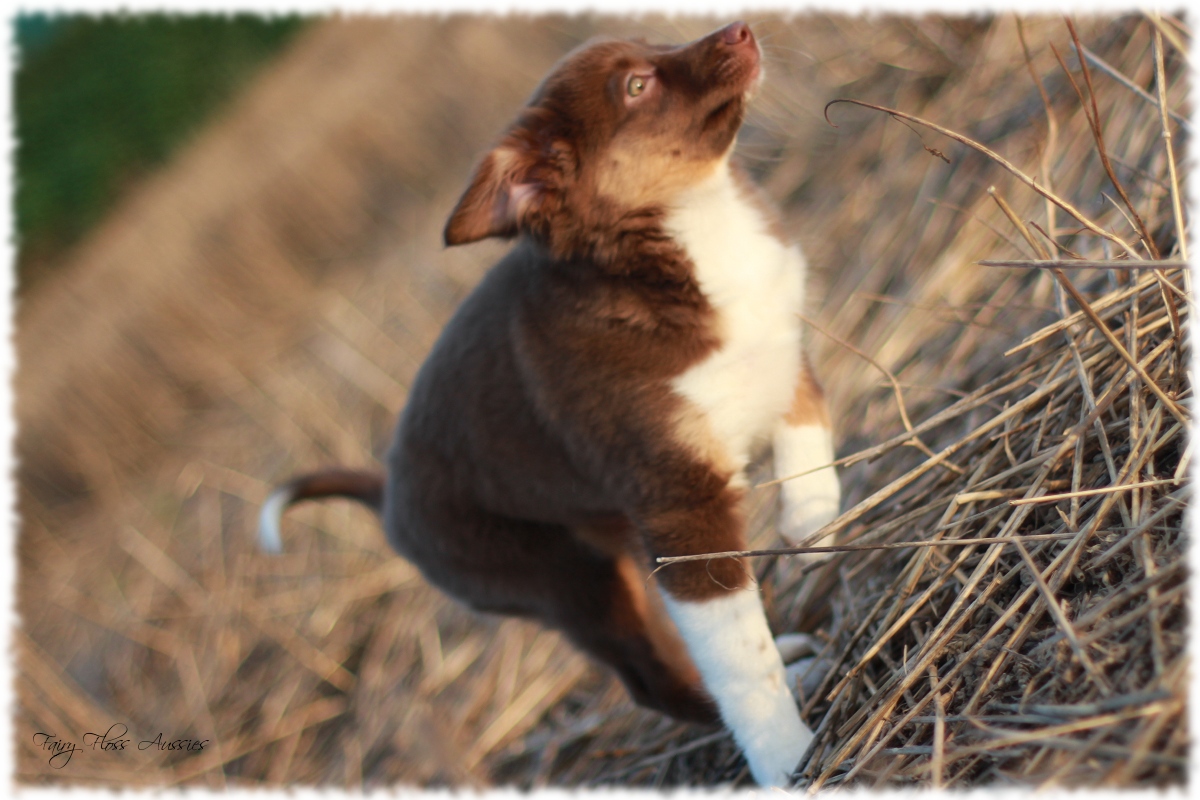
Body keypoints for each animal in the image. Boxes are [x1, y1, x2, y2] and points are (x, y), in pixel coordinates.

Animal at [260, 20, 844, 786]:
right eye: (636, 86)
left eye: (651, 44)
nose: (741, 28)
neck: (691, 228)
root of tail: (387, 492)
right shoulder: (679, 506)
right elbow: (741, 660)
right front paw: (785, 756)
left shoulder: (782, 354)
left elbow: (808, 439)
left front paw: (814, 529)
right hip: (566, 576)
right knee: (650, 681)